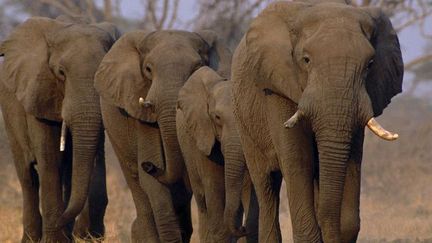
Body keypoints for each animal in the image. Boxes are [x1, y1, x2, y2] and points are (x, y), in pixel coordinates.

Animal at [93, 29, 231, 242]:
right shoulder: (139, 111)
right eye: (148, 69)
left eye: (197, 67)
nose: (149, 166)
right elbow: (153, 184)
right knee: (138, 189)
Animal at [176, 65, 260, 242]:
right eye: (217, 117)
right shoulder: (203, 137)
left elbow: (251, 188)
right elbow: (214, 186)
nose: (242, 228)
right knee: (202, 203)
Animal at [231, 0, 404, 242]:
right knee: (267, 185)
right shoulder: (278, 86)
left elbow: (351, 158)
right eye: (306, 60)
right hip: (244, 122)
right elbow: (298, 159)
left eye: (370, 64)